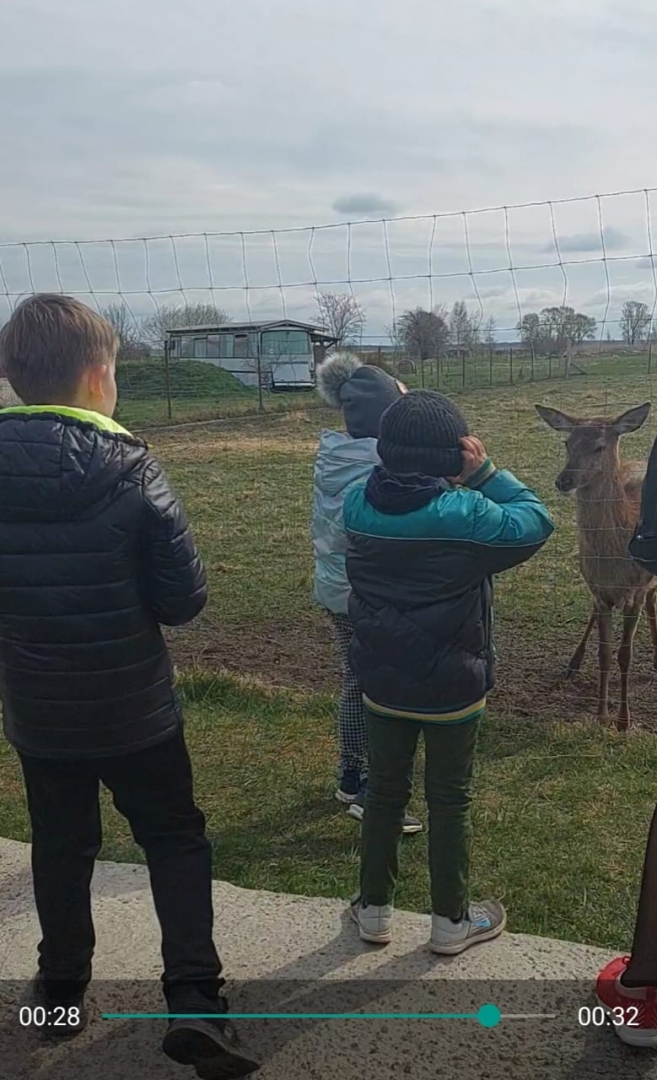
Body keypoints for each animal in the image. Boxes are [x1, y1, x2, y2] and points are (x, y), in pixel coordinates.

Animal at [536, 402, 657, 731]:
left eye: (600, 446)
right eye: (567, 442)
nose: (564, 480)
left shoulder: (636, 590)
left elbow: (624, 653)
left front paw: (623, 721)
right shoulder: (599, 590)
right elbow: (604, 652)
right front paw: (602, 715)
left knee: (653, 600)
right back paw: (574, 662)